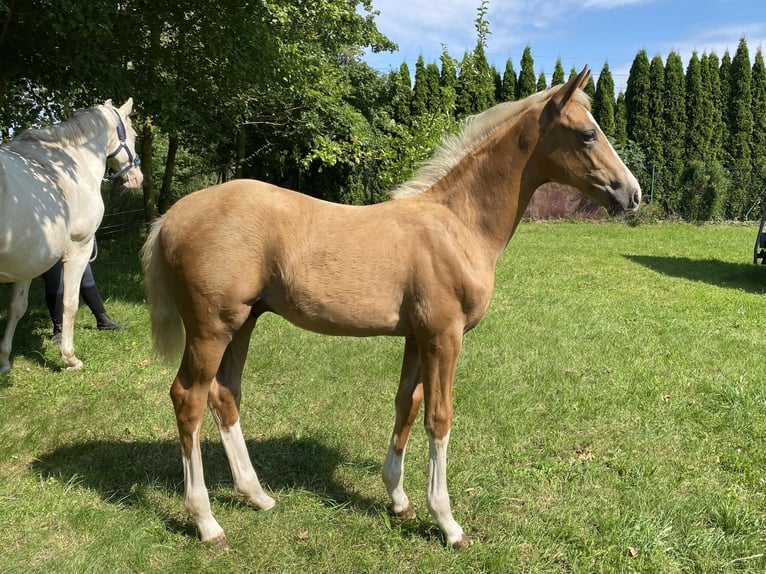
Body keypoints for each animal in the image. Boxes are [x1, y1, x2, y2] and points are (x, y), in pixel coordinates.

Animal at [0, 99, 142, 374]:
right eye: (134, 135)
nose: (137, 178)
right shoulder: (80, 247)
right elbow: (70, 302)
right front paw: (70, 358)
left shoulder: (30, 260)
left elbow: (16, 307)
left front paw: (3, 359)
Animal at [142, 70, 640, 552]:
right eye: (587, 134)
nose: (631, 194)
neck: (457, 225)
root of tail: (170, 217)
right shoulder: (444, 336)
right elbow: (439, 416)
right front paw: (448, 523)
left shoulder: (417, 337)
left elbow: (407, 404)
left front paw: (399, 500)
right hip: (210, 329)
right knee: (188, 398)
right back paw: (207, 522)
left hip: (243, 323)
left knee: (225, 394)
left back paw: (257, 495)